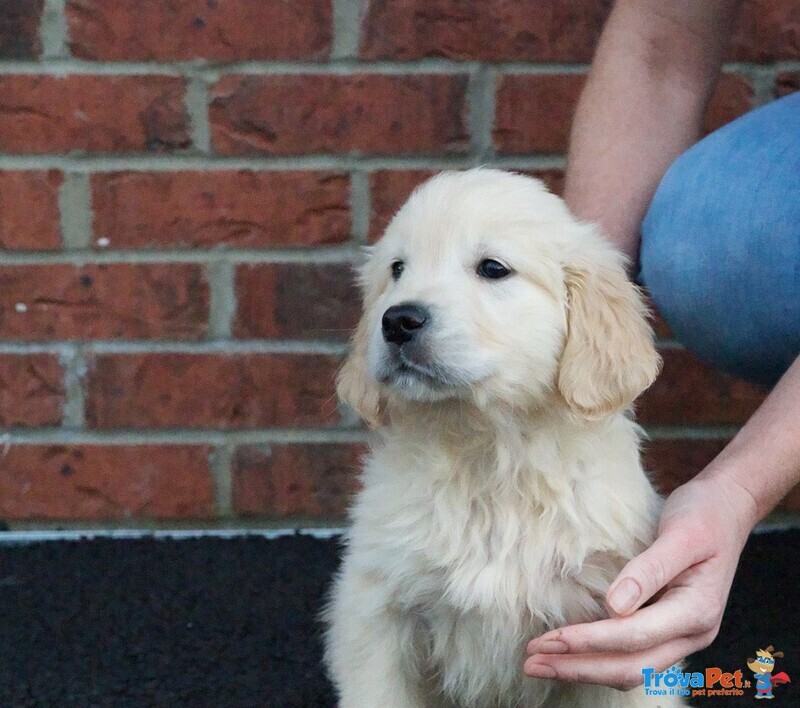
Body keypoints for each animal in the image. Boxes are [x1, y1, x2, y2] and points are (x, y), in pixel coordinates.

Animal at [322, 169, 684, 704]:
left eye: (493, 268)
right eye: (397, 270)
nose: (397, 320)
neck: (489, 455)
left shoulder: (613, 634)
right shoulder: (378, 613)